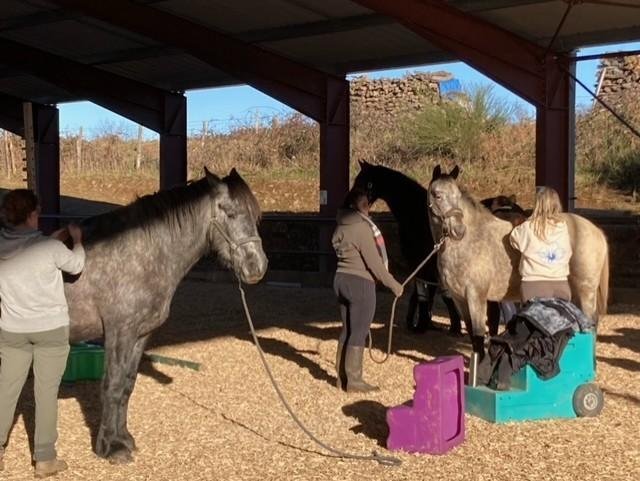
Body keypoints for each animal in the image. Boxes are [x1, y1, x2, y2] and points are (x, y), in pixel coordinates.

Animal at [63, 167, 268, 463]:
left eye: (255, 216)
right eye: (230, 213)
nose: (257, 267)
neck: (139, 255)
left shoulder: (141, 335)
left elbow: (127, 385)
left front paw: (125, 439)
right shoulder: (119, 333)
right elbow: (112, 385)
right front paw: (110, 448)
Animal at [352, 161, 462, 334]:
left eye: (364, 182)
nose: (350, 201)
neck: (417, 216)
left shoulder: (420, 261)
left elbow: (426, 291)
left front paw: (422, 324)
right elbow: (430, 292)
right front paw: (427, 322)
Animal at [427, 165, 609, 356]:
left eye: (457, 196)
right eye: (437, 195)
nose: (458, 230)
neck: (470, 242)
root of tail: (595, 230)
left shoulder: (477, 297)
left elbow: (478, 337)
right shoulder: (459, 299)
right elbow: (473, 337)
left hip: (585, 292)